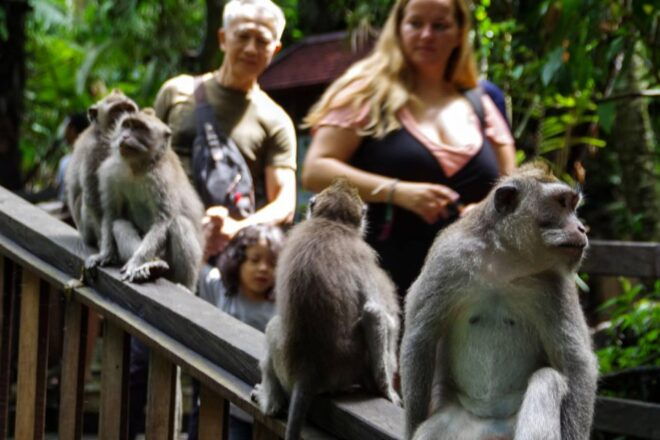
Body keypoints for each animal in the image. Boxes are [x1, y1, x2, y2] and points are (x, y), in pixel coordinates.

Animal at [65, 89, 139, 247]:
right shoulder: (95, 150)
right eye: (118, 110)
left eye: (129, 109)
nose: (126, 119)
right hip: (87, 230)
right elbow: (94, 198)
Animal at [85, 108, 204, 292]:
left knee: (180, 224)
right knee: (119, 224)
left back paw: (182, 284)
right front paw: (104, 254)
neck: (138, 168)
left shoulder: (163, 179)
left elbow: (162, 221)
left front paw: (136, 263)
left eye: (139, 128)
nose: (125, 136)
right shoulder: (111, 172)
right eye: (126, 125)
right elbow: (112, 214)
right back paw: (152, 266)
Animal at [251, 178, 401, 440]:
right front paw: (386, 390)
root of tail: (307, 370)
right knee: (272, 327)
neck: (331, 223)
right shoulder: (364, 255)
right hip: (347, 369)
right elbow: (373, 311)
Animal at [399, 162, 599, 440]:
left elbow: (576, 363)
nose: (582, 228)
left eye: (572, 205)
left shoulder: (557, 284)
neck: (504, 263)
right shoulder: (447, 259)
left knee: (547, 379)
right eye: (562, 203)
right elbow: (420, 338)